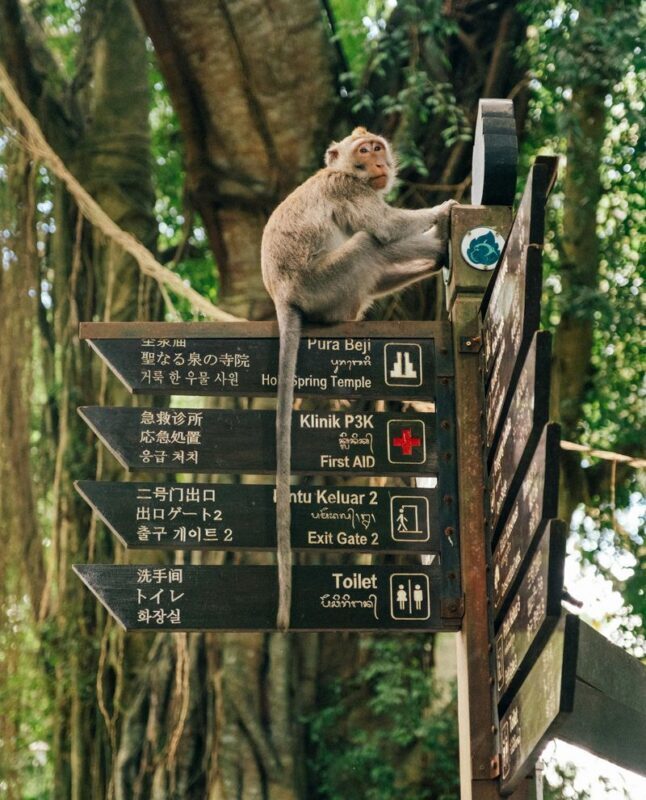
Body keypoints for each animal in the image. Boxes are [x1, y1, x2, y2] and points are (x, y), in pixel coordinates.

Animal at [261, 126, 456, 631]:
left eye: (377, 147)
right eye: (364, 151)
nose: (378, 163)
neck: (344, 172)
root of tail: (283, 297)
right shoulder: (345, 190)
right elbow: (385, 227)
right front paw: (444, 212)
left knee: (375, 256)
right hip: (324, 284)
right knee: (370, 243)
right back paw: (431, 250)